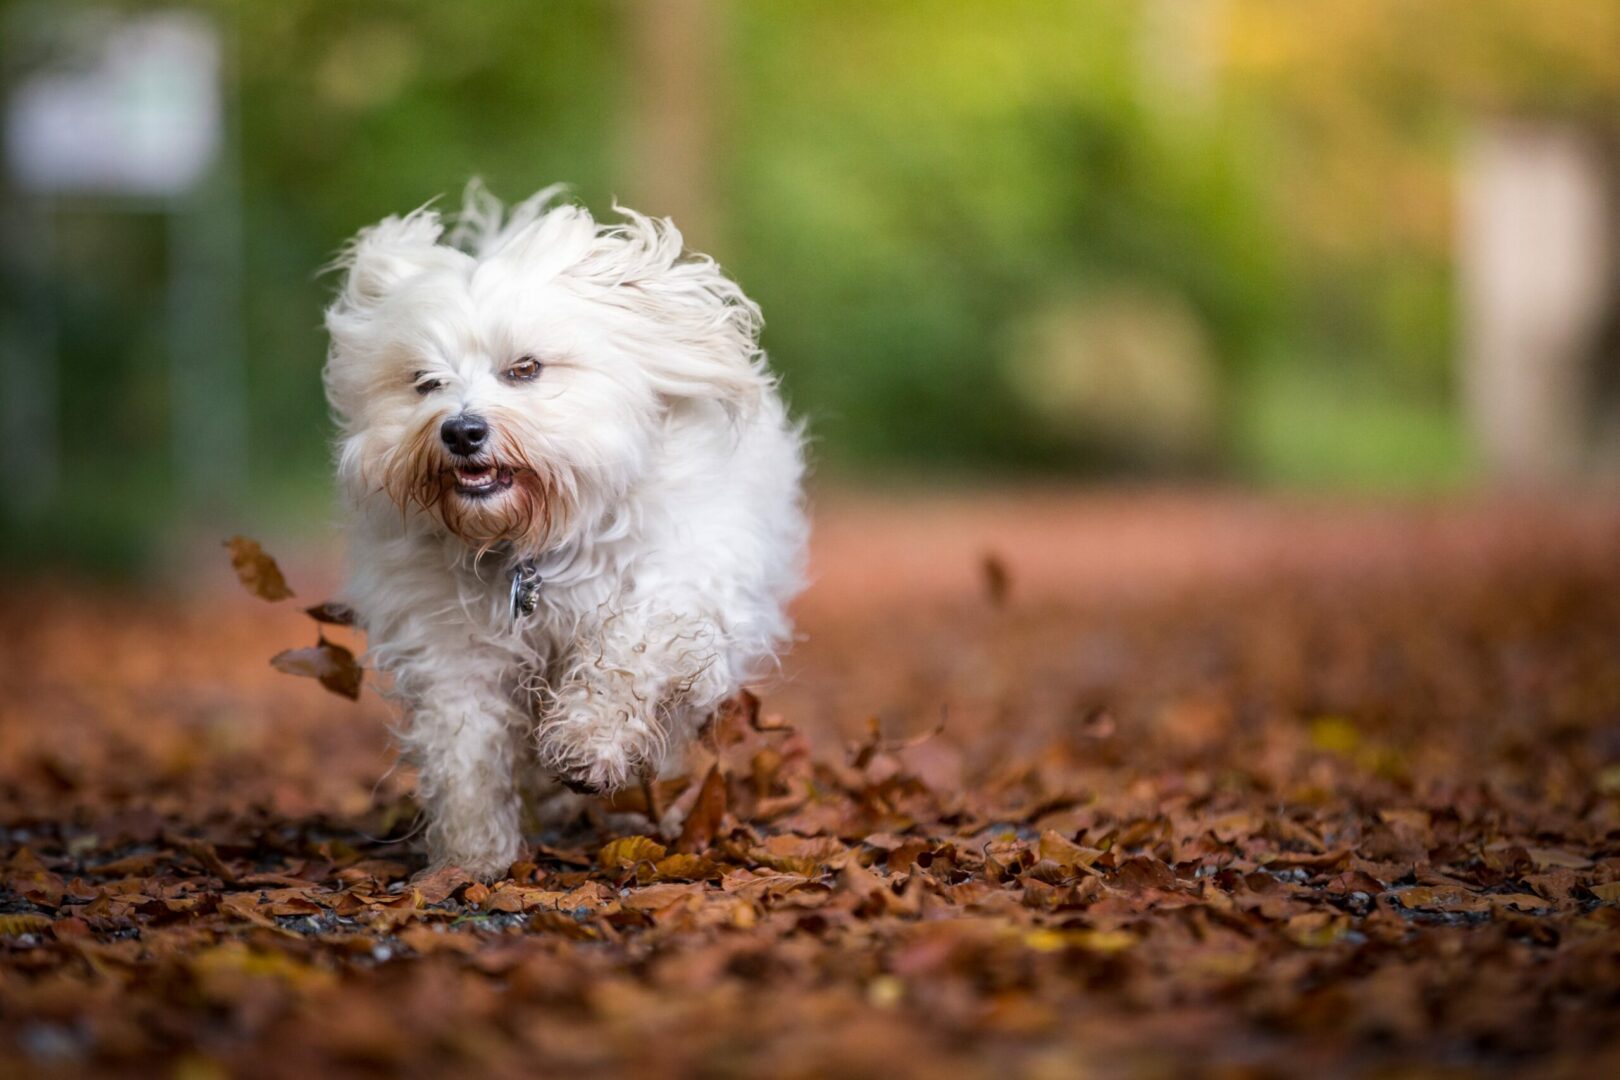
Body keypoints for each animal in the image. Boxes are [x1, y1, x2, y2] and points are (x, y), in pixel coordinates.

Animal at [325, 186, 806, 880]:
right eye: (425, 382)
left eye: (525, 369)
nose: (461, 430)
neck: (532, 544)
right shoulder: (451, 646)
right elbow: (464, 748)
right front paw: (471, 857)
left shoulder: (679, 586)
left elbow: (628, 652)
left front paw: (586, 743)